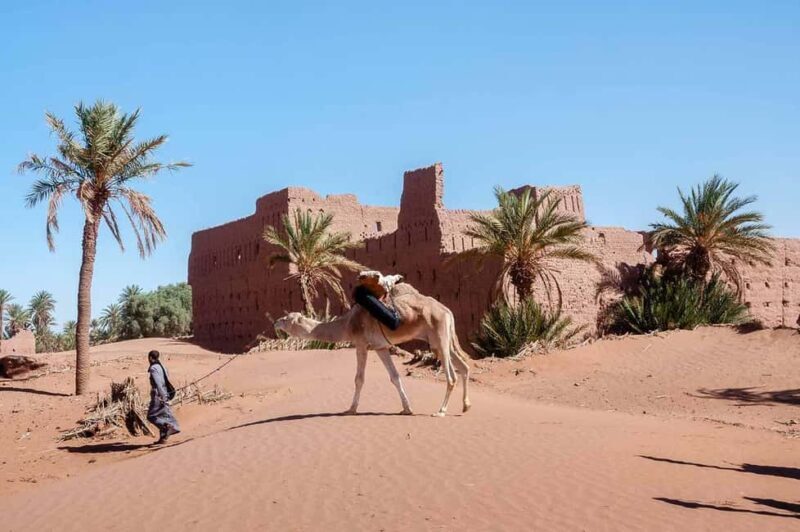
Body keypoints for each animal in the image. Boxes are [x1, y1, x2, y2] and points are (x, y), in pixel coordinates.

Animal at [274, 279, 471, 417]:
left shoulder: (361, 344)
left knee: (452, 377)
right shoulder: (380, 347)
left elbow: (359, 379)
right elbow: (395, 377)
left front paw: (351, 409)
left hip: (439, 336)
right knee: (464, 367)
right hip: (442, 340)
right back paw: (465, 406)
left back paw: (441, 411)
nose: (276, 322)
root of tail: (447, 311)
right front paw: (407, 409)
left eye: (287, 319)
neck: (347, 324)